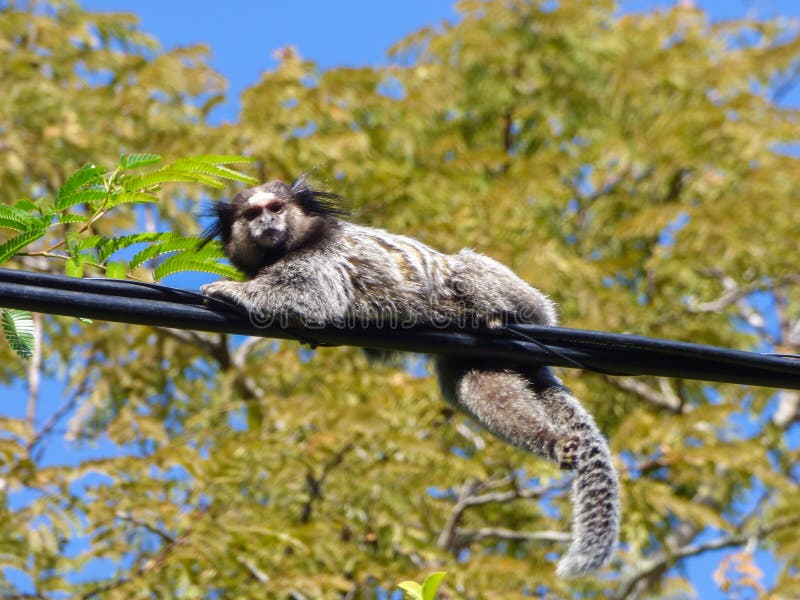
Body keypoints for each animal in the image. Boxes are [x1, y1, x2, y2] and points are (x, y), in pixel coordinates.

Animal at [200, 176, 620, 580]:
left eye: (275, 208)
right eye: (252, 215)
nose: (267, 223)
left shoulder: (321, 259)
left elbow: (308, 298)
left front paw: (230, 290)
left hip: (521, 300)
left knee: (466, 270)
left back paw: (494, 316)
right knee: (475, 386)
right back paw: (552, 440)